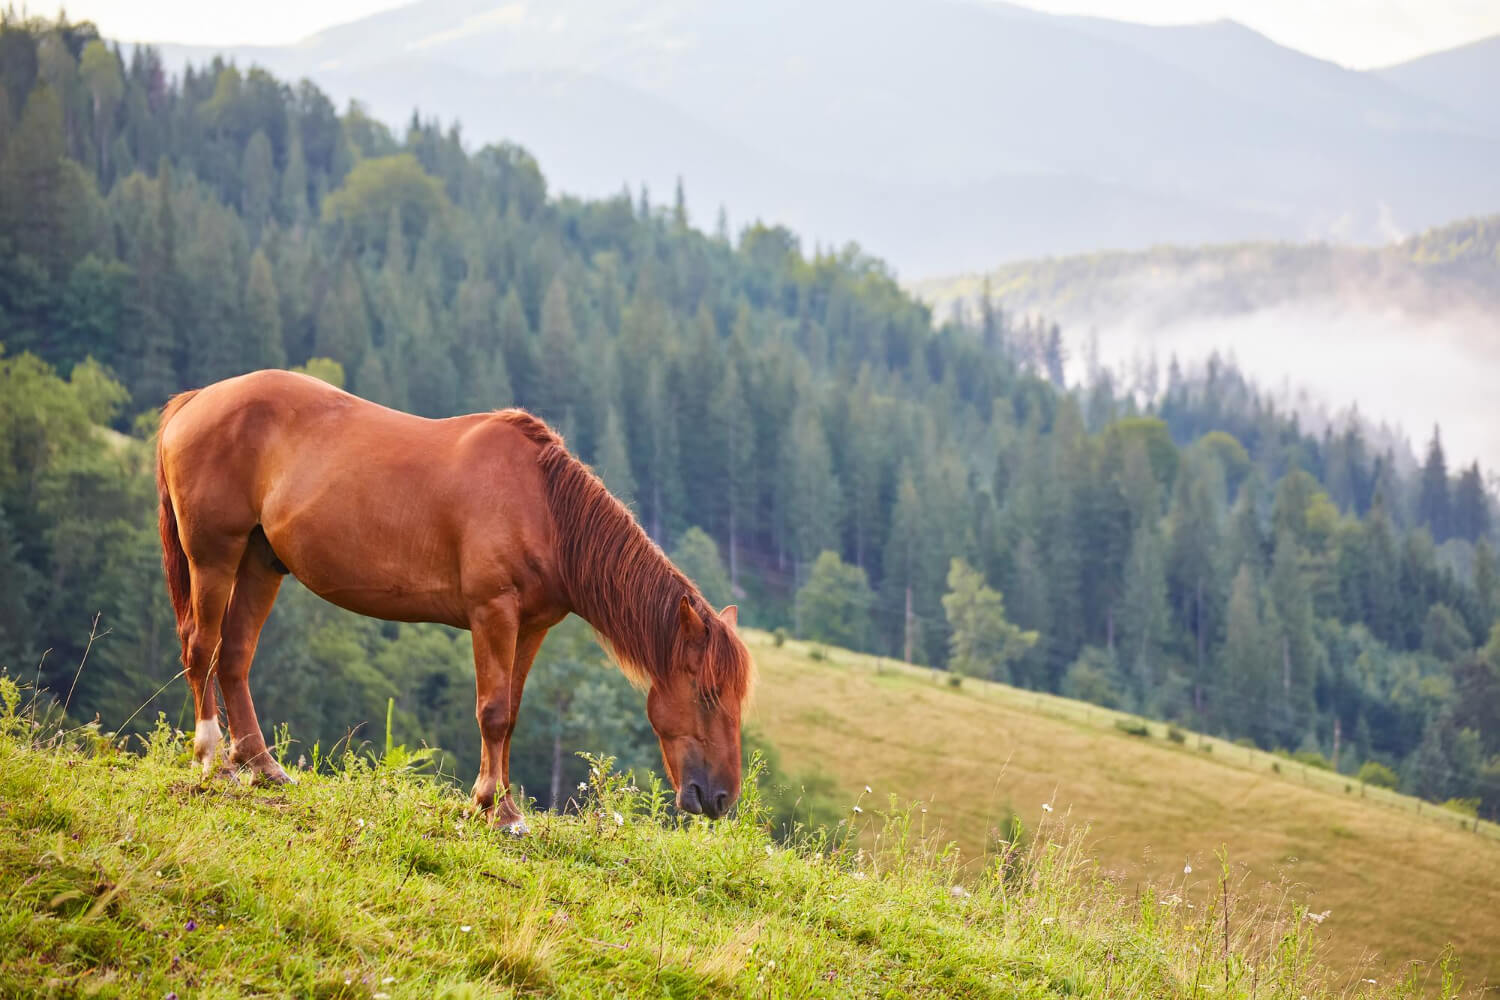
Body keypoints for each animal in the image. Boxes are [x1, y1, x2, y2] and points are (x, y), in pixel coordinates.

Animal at [154, 369, 752, 830]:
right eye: (706, 694)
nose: (721, 798)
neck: (544, 509)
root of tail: (197, 400)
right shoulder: (493, 613)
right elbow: (492, 713)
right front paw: (493, 808)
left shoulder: (531, 626)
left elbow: (511, 713)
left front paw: (505, 808)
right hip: (214, 557)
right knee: (202, 648)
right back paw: (214, 761)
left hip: (261, 564)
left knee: (234, 656)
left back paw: (263, 767)